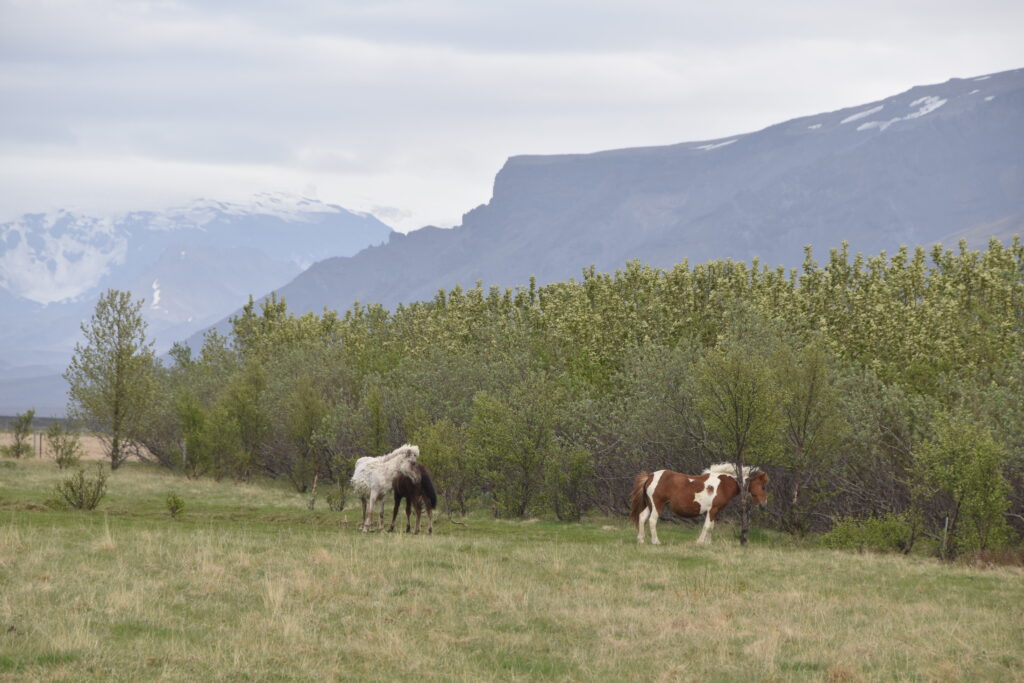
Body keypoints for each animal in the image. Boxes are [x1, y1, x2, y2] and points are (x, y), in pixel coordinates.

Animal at [630, 464, 770, 544]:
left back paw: (640, 540)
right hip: (657, 505)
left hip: (650, 505)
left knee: (642, 517)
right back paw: (656, 541)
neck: (723, 484)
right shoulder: (712, 510)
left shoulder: (716, 511)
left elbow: (711, 526)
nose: (764, 504)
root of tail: (650, 476)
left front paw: (708, 543)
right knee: (652, 520)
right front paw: (700, 542)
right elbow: (707, 526)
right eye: (763, 486)